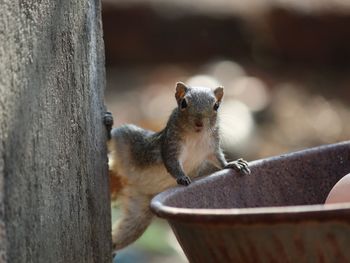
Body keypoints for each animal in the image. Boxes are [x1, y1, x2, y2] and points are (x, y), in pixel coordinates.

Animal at [104, 82, 249, 252]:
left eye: (216, 106)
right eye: (183, 103)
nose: (199, 122)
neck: (196, 136)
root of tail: (124, 179)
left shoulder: (212, 148)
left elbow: (220, 160)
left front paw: (233, 165)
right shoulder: (171, 145)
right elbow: (172, 163)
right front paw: (182, 177)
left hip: (138, 213)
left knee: (127, 231)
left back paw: (112, 246)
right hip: (126, 138)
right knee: (112, 138)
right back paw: (108, 127)